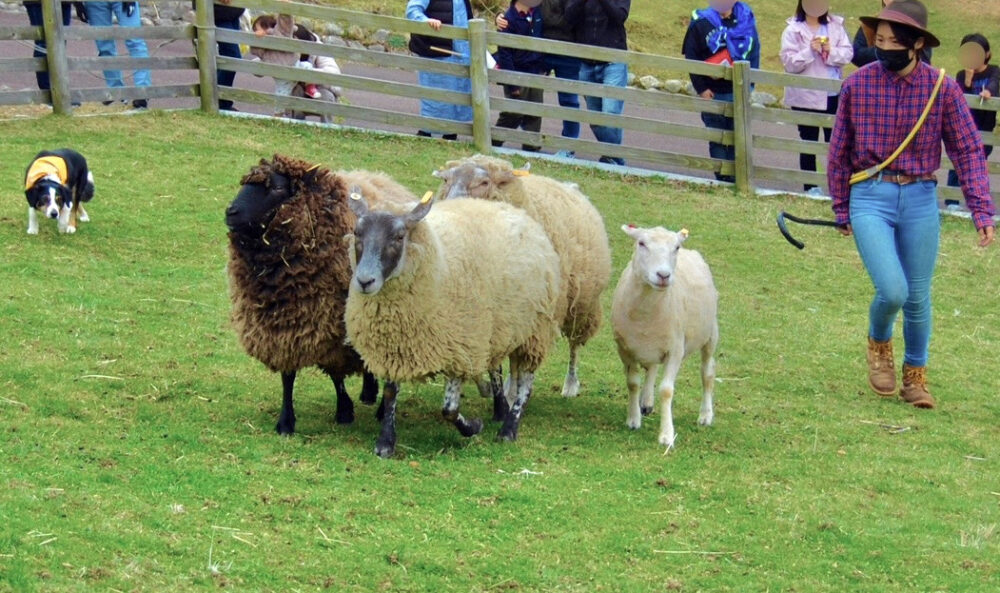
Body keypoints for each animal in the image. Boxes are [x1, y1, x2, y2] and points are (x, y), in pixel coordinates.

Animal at [225, 155, 416, 438]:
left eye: (277, 188)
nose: (231, 212)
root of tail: (381, 178)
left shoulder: (333, 326)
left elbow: (337, 371)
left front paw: (344, 410)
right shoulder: (287, 325)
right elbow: (290, 377)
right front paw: (286, 421)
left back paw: (381, 407)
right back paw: (368, 392)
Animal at [344, 192, 564, 456]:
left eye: (398, 237)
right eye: (357, 233)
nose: (365, 281)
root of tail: (515, 211)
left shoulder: (460, 346)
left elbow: (449, 409)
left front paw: (473, 427)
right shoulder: (396, 346)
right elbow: (389, 394)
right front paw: (385, 442)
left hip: (534, 331)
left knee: (526, 383)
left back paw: (509, 428)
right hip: (497, 328)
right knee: (496, 368)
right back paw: (500, 411)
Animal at [434, 153, 612, 408]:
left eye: (484, 182)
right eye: (446, 179)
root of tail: (571, 186)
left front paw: (508, 395)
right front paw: (489, 387)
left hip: (580, 305)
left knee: (574, 346)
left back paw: (570, 384)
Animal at [608, 224, 720, 446]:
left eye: (676, 247)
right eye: (641, 243)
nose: (663, 275)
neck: (645, 314)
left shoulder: (675, 350)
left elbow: (667, 390)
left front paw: (667, 435)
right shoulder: (624, 349)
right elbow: (632, 383)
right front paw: (633, 419)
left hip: (711, 333)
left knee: (707, 372)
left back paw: (705, 415)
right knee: (651, 368)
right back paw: (646, 402)